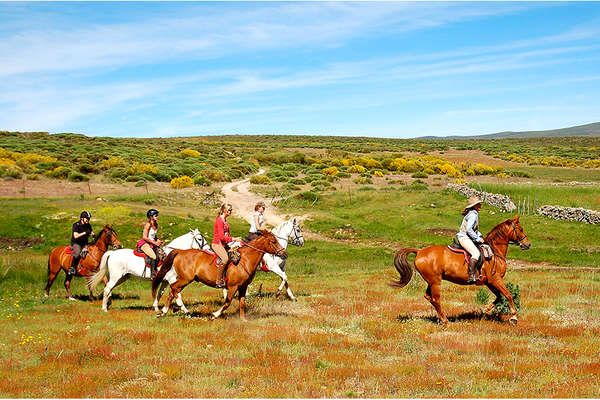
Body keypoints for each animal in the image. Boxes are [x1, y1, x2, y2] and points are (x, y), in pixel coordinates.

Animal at [154, 230, 288, 320]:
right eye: (274, 241)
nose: (285, 254)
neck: (244, 260)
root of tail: (180, 251)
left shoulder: (243, 286)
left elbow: (242, 303)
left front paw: (243, 320)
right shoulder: (233, 287)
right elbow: (227, 302)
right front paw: (214, 315)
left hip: (184, 280)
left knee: (172, 291)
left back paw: (164, 311)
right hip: (185, 279)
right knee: (174, 289)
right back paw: (181, 309)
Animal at [390, 216, 528, 324]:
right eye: (521, 229)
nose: (528, 244)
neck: (494, 252)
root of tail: (419, 251)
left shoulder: (489, 282)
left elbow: (499, 297)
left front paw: (483, 311)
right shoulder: (495, 280)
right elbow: (508, 295)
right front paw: (514, 318)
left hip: (431, 281)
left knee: (429, 297)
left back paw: (442, 319)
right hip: (435, 281)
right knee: (436, 299)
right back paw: (445, 321)